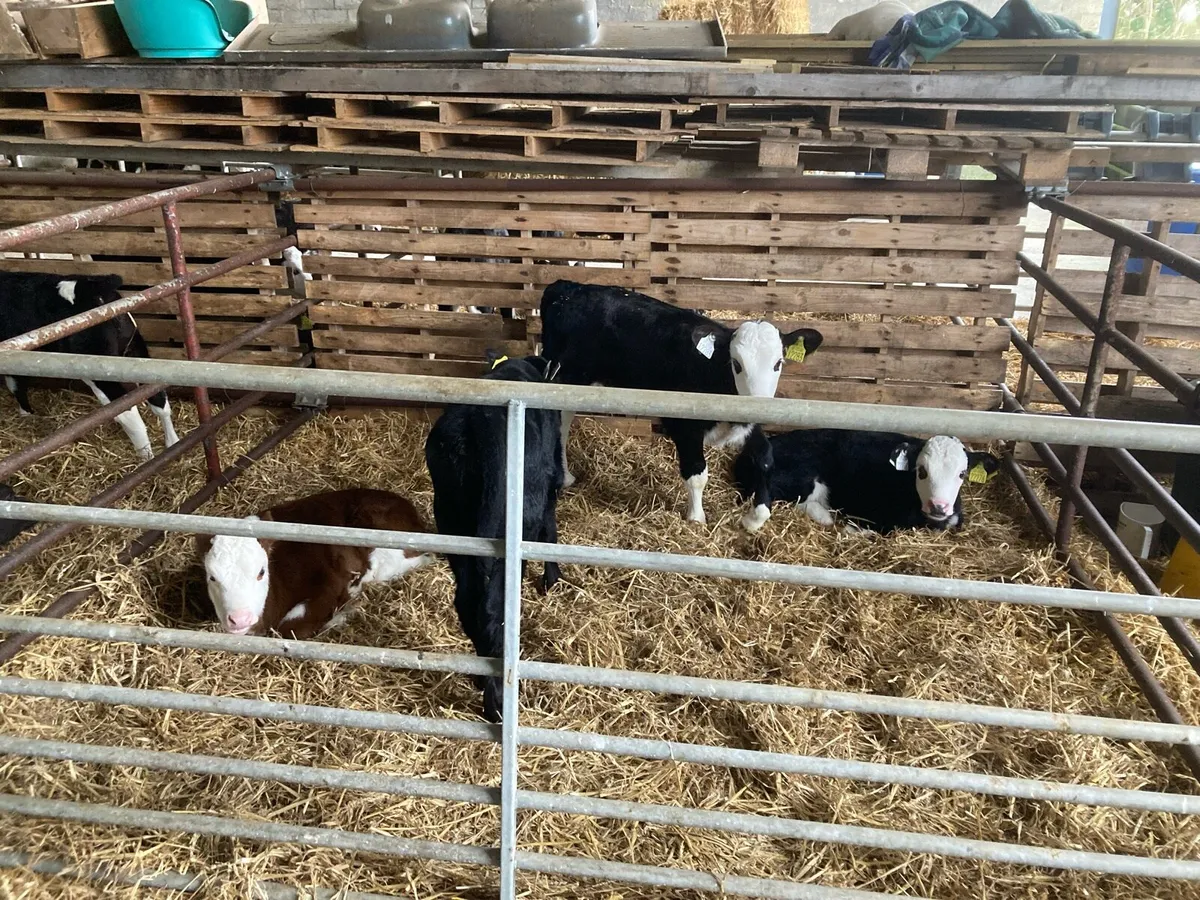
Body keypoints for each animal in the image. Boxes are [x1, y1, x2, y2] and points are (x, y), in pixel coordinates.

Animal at [0, 272, 178, 461]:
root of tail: (88, 286)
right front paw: (26, 413)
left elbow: (14, 384)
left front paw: (25, 413)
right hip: (135, 348)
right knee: (159, 399)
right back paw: (171, 443)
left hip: (101, 370)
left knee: (129, 415)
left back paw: (146, 459)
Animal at [199, 488, 433, 640]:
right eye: (212, 577)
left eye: (261, 572)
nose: (240, 619)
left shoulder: (330, 582)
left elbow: (291, 628)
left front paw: (343, 613)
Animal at [425, 355, 563, 722]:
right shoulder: (551, 480)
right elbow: (551, 527)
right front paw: (553, 579)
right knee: (491, 607)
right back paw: (497, 702)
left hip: (453, 522)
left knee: (467, 603)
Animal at [539, 280, 823, 524]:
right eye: (736, 364)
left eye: (778, 363)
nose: (759, 408)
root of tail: (567, 287)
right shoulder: (684, 425)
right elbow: (697, 473)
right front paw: (696, 518)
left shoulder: (748, 425)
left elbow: (765, 458)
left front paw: (755, 517)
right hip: (564, 376)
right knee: (560, 422)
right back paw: (565, 477)